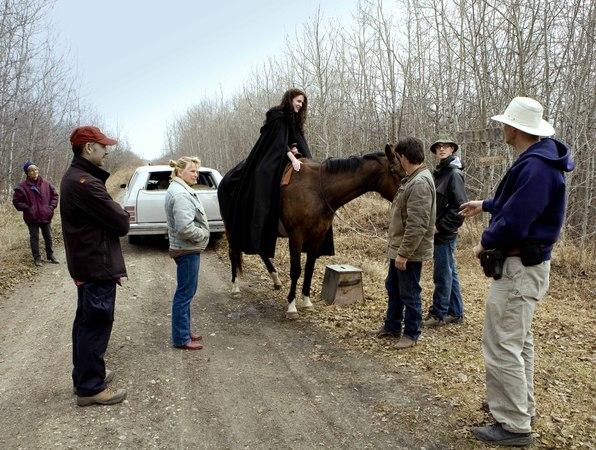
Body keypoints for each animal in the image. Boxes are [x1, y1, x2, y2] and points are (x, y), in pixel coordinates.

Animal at [224, 145, 406, 320]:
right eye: (397, 172)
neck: (318, 191)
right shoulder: (296, 236)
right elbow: (296, 270)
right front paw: (291, 306)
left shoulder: (317, 236)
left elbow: (309, 268)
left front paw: (306, 301)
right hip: (232, 228)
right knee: (233, 252)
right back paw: (235, 287)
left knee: (260, 251)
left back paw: (275, 279)